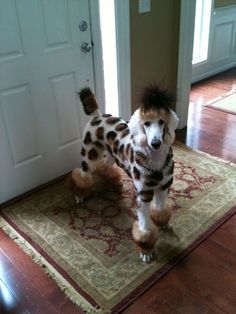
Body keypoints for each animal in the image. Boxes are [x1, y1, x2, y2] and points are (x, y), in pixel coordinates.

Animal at [70, 84, 179, 262]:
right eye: (146, 123)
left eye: (162, 121)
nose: (156, 143)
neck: (155, 159)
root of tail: (97, 115)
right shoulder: (144, 195)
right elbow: (144, 226)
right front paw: (146, 249)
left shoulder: (163, 188)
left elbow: (161, 210)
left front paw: (163, 224)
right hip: (89, 154)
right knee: (83, 174)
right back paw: (80, 193)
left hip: (112, 155)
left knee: (105, 167)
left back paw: (113, 182)